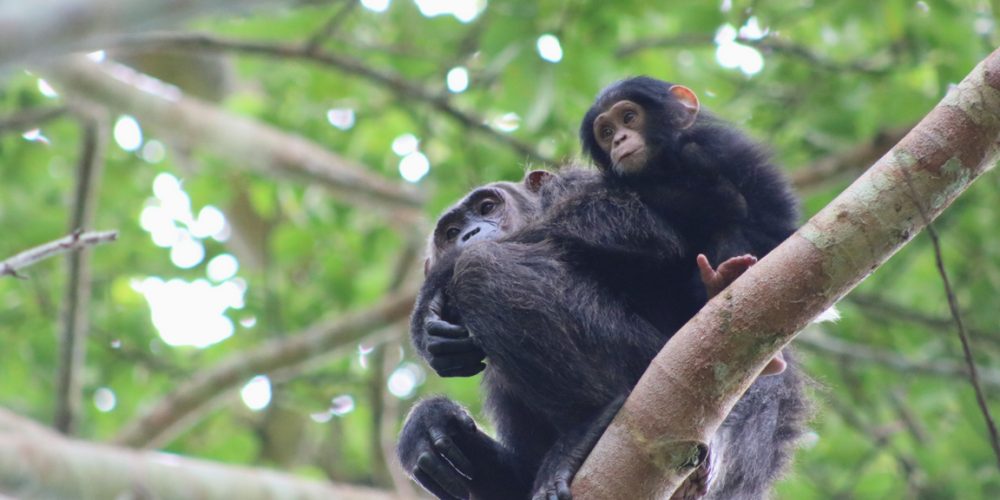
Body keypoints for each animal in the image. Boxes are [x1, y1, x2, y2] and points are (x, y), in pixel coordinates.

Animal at [394, 163, 808, 496]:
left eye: (486, 207)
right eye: (451, 231)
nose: (469, 234)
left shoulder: (582, 185)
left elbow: (629, 223)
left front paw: (428, 303)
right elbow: (520, 476)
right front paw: (430, 424)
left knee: (482, 269)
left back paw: (588, 423)